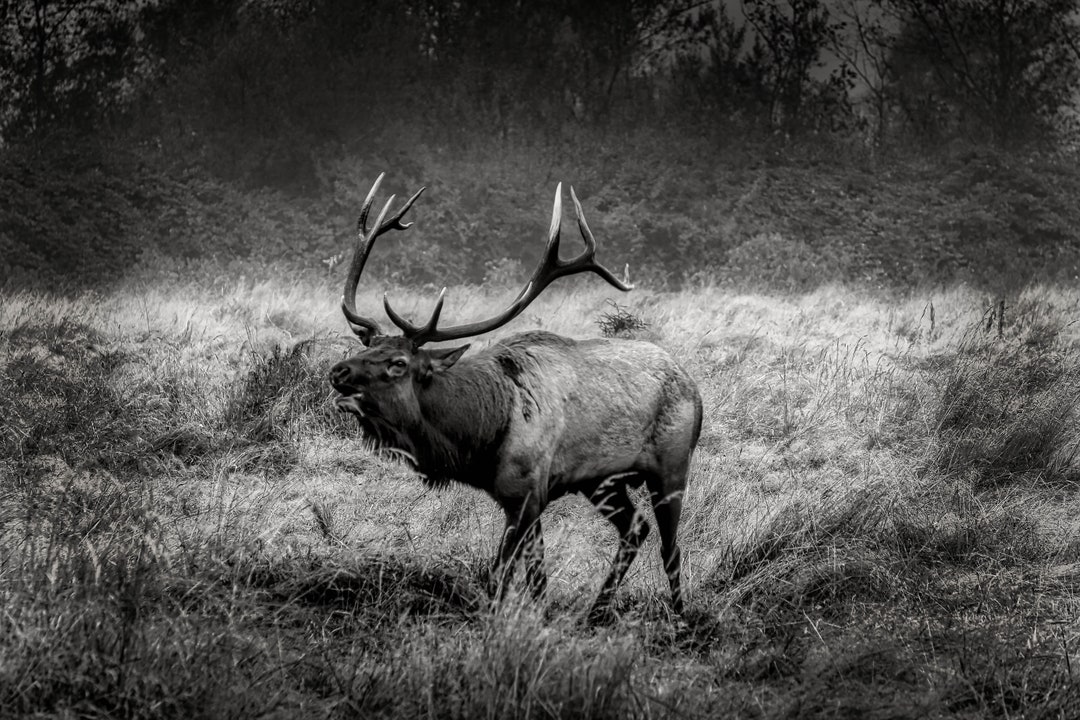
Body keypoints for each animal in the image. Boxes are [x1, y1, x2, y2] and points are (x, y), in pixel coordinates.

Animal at [329, 173, 702, 620]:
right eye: (366, 346)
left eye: (399, 362)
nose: (338, 371)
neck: (480, 437)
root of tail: (694, 387)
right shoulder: (525, 496)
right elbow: (535, 576)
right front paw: (541, 617)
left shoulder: (524, 493)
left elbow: (500, 575)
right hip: (601, 482)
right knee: (636, 527)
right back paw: (595, 612)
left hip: (671, 466)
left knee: (670, 548)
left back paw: (680, 618)